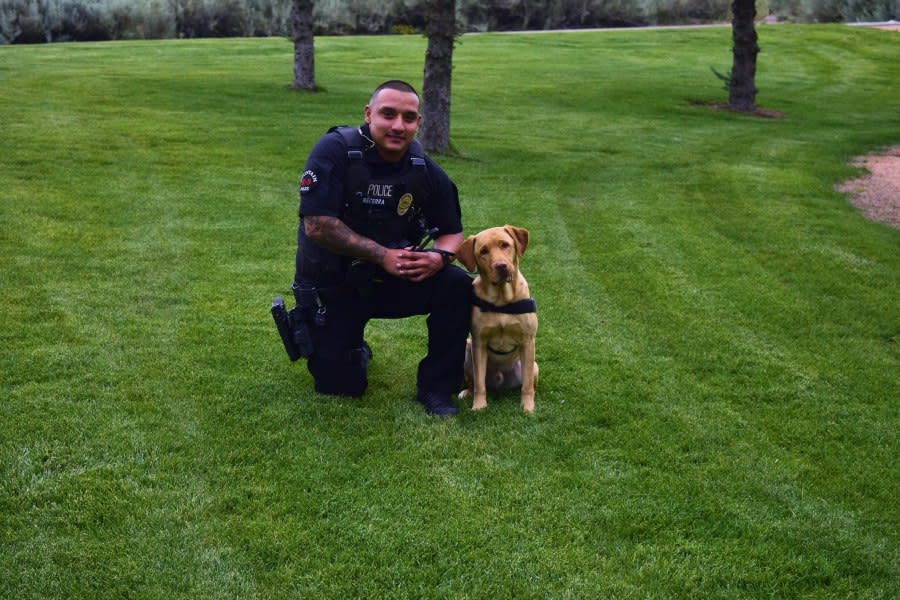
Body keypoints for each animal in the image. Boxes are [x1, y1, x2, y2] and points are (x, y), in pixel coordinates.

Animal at [460, 225, 536, 412]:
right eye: (483, 251)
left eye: (505, 245)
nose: (501, 266)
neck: (502, 300)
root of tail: (499, 382)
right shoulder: (479, 343)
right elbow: (480, 384)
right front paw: (479, 406)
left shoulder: (528, 341)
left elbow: (527, 385)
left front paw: (528, 408)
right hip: (466, 350)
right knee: (474, 383)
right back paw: (466, 392)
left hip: (534, 366)